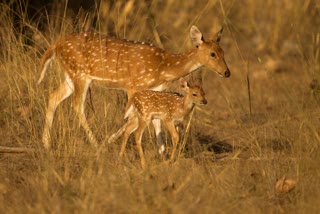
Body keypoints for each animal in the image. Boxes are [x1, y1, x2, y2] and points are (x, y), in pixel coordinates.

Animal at [37, 24, 230, 149]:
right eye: (212, 54)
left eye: (223, 52)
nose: (227, 72)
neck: (164, 67)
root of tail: (56, 43)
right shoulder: (134, 85)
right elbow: (131, 117)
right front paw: (110, 141)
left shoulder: (155, 91)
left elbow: (157, 122)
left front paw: (162, 154)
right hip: (80, 74)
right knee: (77, 105)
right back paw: (96, 143)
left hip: (70, 75)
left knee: (53, 95)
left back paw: (46, 143)